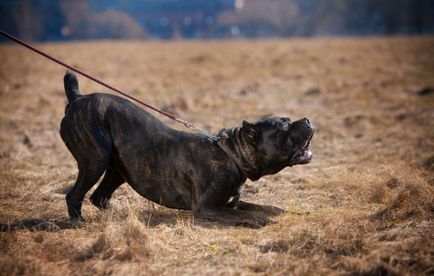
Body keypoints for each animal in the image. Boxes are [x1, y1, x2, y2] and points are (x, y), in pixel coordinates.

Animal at [59, 71, 314, 226]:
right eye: (284, 126)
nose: (308, 119)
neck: (232, 155)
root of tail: (77, 98)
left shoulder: (231, 201)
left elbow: (264, 206)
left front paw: (282, 211)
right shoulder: (207, 207)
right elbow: (246, 214)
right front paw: (261, 219)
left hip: (117, 170)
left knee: (99, 197)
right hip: (95, 160)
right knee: (75, 195)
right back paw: (78, 222)